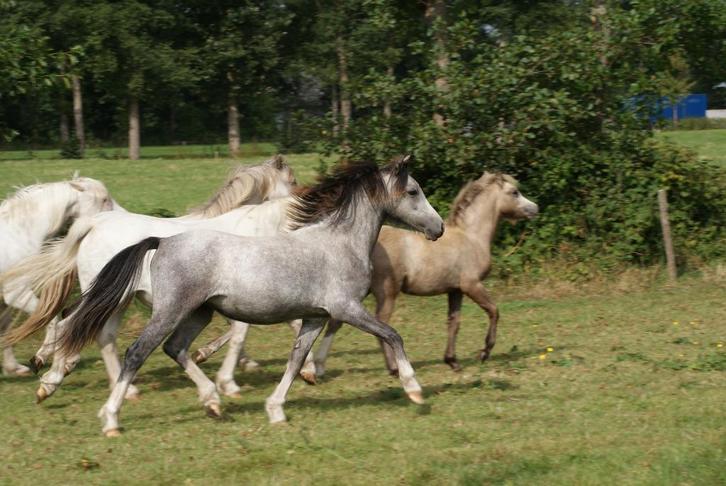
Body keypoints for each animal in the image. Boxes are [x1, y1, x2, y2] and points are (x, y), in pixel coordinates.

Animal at [0, 176, 114, 376]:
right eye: (104, 199)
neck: (18, 234)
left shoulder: (8, 298)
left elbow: (5, 327)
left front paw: (14, 368)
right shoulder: (16, 292)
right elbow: (51, 319)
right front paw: (40, 358)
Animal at [54, 156, 444, 436]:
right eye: (413, 191)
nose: (438, 228)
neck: (339, 243)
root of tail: (161, 242)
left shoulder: (315, 316)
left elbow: (295, 360)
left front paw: (276, 409)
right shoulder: (346, 308)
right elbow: (393, 334)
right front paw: (414, 389)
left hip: (199, 313)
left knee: (175, 349)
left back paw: (212, 401)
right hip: (170, 310)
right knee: (136, 352)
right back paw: (110, 418)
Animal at [312, 172, 538, 375]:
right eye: (514, 192)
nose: (535, 208)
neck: (471, 237)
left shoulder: (455, 290)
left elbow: (454, 322)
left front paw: (452, 361)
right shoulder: (471, 285)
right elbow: (493, 311)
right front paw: (484, 352)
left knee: (336, 321)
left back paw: (316, 369)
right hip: (387, 292)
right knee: (379, 324)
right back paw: (393, 368)